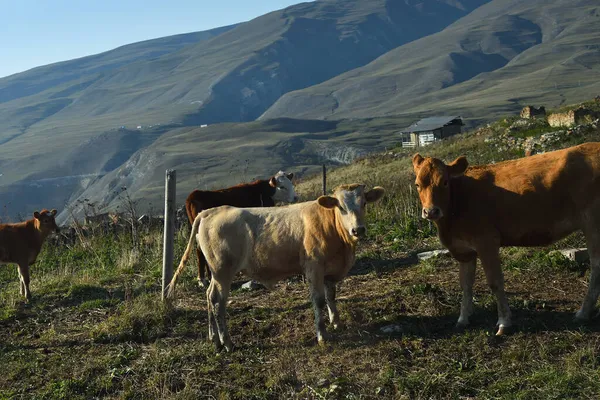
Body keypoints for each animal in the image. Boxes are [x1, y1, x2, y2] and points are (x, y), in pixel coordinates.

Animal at [169, 184, 384, 350]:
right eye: (340, 207)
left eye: (364, 203)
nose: (358, 230)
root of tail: (211, 211)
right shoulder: (314, 268)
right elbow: (319, 300)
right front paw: (322, 334)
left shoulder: (331, 270)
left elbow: (331, 296)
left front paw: (337, 323)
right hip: (223, 272)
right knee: (216, 301)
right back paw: (227, 342)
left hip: (217, 273)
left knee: (208, 296)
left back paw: (214, 337)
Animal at [412, 142, 600, 336]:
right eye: (417, 184)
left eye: (445, 182)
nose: (431, 211)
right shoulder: (464, 249)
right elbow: (465, 284)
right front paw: (463, 319)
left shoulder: (487, 242)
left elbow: (495, 282)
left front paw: (504, 322)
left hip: (592, 223)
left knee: (596, 266)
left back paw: (583, 312)